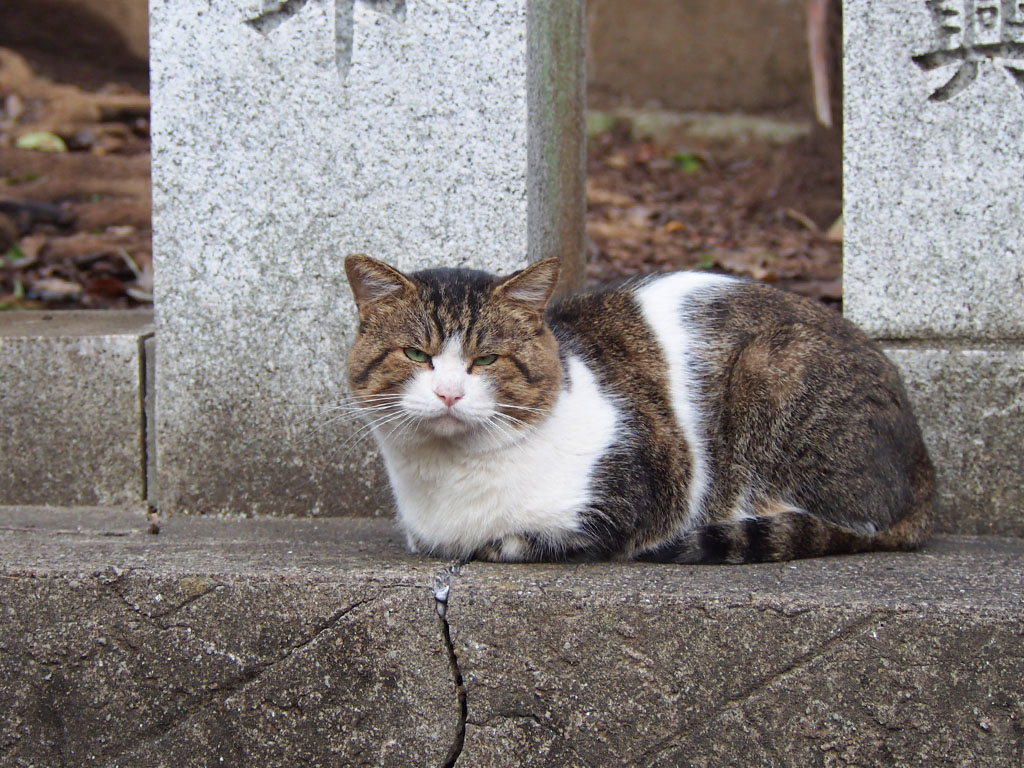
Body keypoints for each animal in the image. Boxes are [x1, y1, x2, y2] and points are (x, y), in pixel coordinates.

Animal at [339, 256, 933, 561]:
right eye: (417, 354)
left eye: (486, 358)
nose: (449, 394)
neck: (450, 479)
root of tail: (923, 464)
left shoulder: (635, 489)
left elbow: (516, 542)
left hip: (774, 365)